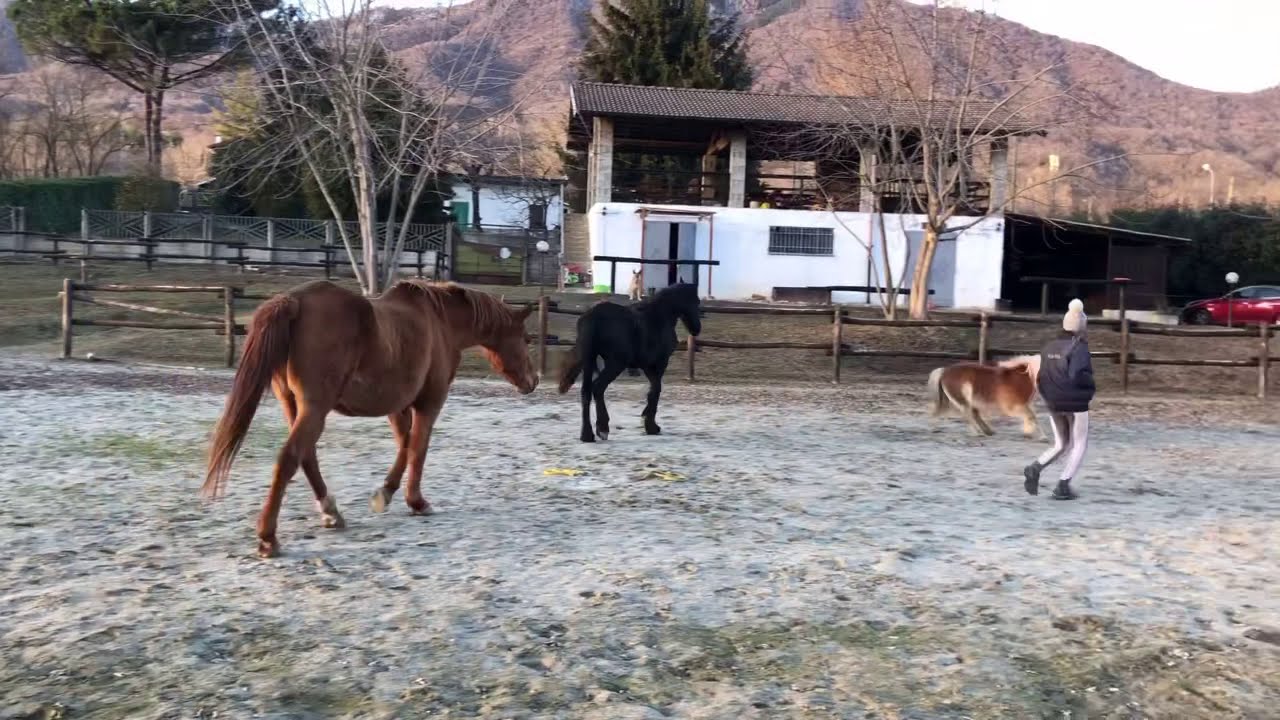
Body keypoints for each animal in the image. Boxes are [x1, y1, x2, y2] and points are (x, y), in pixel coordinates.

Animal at [202, 279, 537, 558]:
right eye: (525, 337)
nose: (533, 380)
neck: (440, 322)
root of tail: (294, 301)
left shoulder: (396, 406)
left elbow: (405, 445)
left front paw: (385, 493)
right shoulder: (428, 404)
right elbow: (418, 448)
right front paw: (417, 502)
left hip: (293, 405)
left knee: (306, 457)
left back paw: (330, 512)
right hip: (315, 408)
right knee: (290, 458)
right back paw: (269, 538)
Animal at [557, 283, 701, 443]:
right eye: (696, 302)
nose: (697, 329)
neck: (658, 318)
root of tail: (593, 316)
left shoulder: (646, 366)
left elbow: (653, 389)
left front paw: (647, 420)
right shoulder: (659, 363)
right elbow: (656, 389)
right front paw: (650, 425)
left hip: (589, 360)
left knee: (586, 392)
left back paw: (587, 435)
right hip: (615, 364)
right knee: (598, 388)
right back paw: (602, 429)